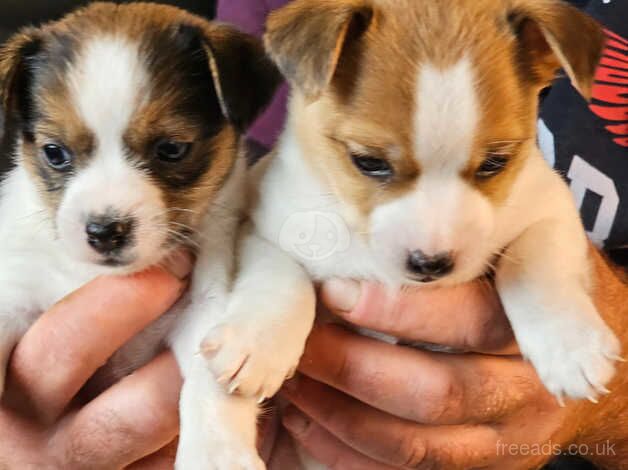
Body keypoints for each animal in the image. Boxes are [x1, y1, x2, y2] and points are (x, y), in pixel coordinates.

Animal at [0, 2, 314, 466]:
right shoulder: (16, 289)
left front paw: (215, 454)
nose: (104, 231)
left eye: (171, 149)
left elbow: (208, 386)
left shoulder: (202, 308)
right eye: (54, 153)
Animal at [243, 0, 620, 412]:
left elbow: (536, 262)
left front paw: (571, 347)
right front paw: (259, 344)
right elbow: (281, 272)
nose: (431, 264)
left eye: (495, 163)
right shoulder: (258, 224)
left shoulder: (549, 205)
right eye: (368, 162)